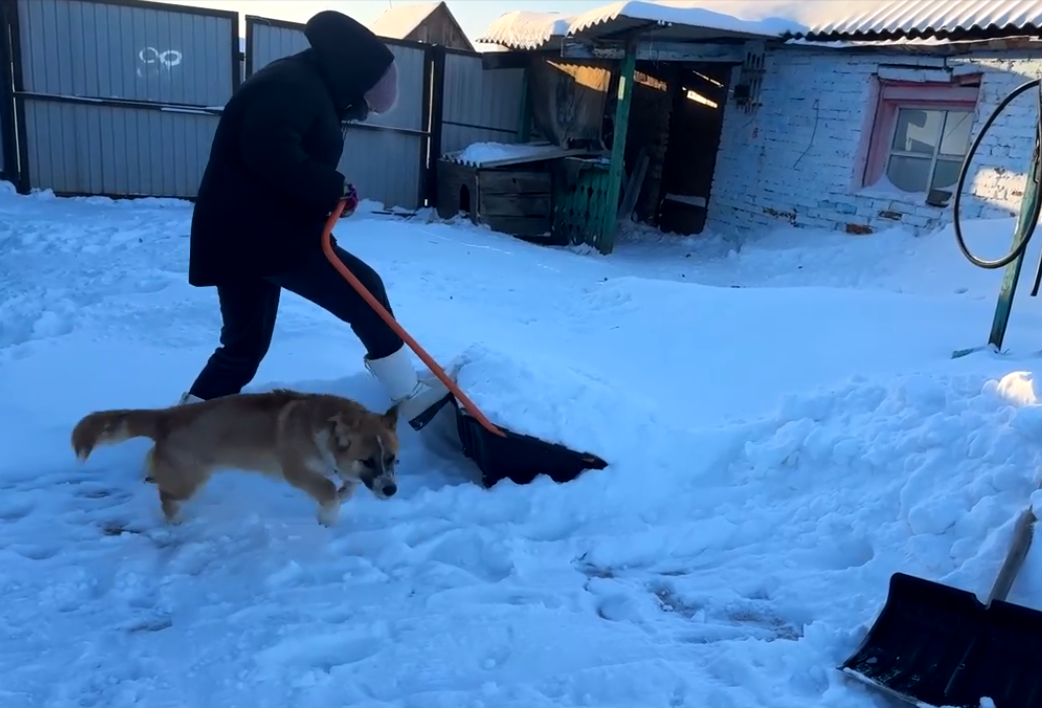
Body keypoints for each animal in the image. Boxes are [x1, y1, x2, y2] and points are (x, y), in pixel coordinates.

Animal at [70, 388, 400, 527]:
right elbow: (328, 490)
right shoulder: (296, 470)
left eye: (393, 459)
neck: (321, 427)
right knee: (167, 496)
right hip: (191, 479)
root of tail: (167, 417)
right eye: (367, 460)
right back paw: (176, 521)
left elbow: (348, 485)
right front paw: (328, 518)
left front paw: (344, 494)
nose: (391, 490)